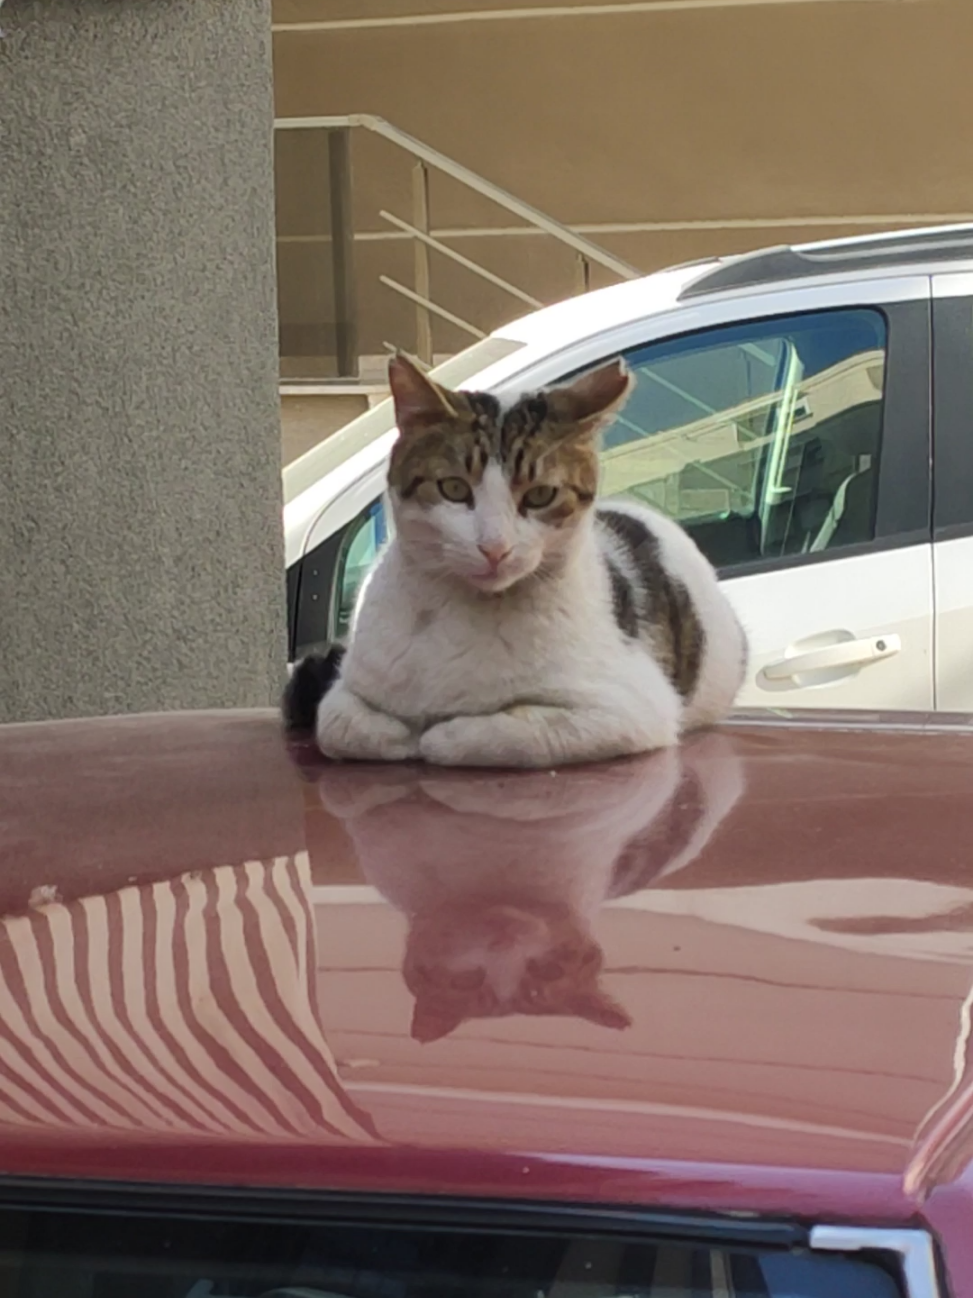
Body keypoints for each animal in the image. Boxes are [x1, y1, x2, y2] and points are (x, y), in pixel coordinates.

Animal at [285, 350, 752, 763]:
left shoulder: (631, 708)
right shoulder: (347, 690)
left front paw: (442, 733)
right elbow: (339, 726)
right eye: (453, 488)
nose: (494, 547)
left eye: (541, 494)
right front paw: (399, 733)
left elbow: (515, 732)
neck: (464, 613)